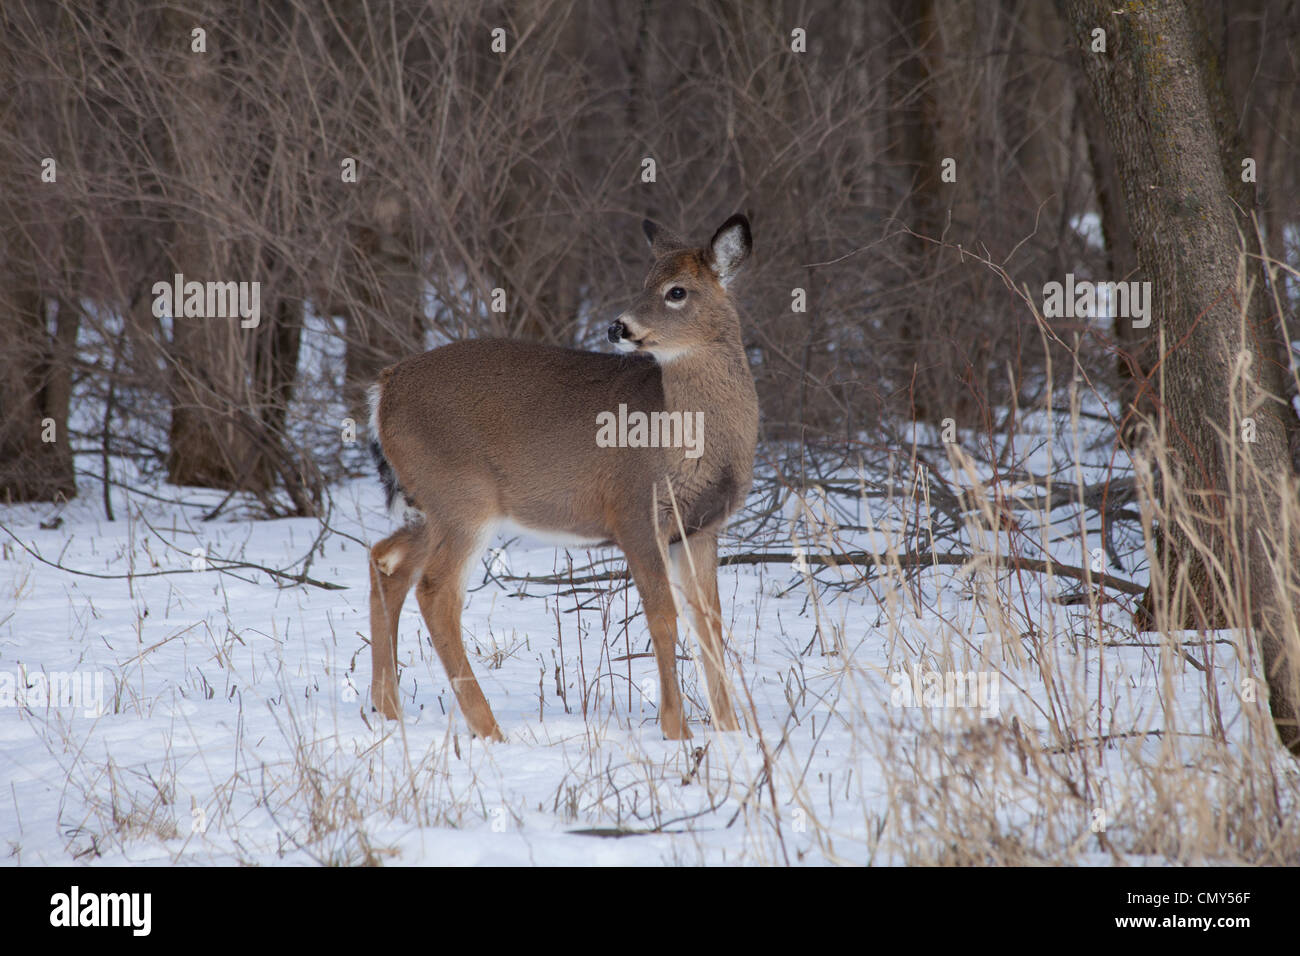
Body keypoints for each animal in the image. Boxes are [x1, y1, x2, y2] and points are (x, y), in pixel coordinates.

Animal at [366, 217, 759, 738]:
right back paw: (488, 727)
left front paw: (732, 730)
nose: (617, 326)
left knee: (386, 560)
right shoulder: (634, 511)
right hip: (462, 496)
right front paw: (677, 730)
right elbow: (663, 619)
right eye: (644, 282)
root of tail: (383, 387)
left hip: (430, 504)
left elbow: (708, 621)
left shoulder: (701, 528)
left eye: (676, 290)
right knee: (435, 591)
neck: (682, 433)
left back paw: (388, 708)